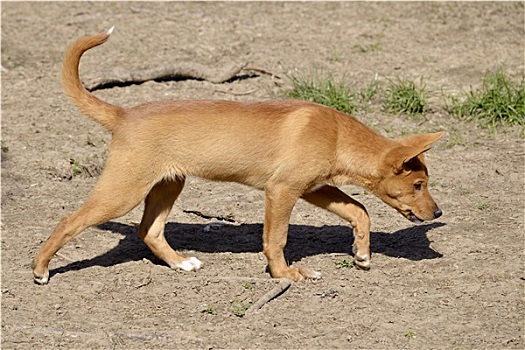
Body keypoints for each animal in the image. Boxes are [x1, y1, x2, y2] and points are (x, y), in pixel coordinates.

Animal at [31, 27, 442, 284]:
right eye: (419, 185)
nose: (438, 213)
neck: (337, 135)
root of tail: (124, 114)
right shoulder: (281, 191)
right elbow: (276, 239)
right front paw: (287, 275)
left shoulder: (314, 188)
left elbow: (360, 210)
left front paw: (361, 254)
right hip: (124, 190)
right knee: (70, 220)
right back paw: (40, 268)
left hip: (168, 184)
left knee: (149, 230)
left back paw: (181, 263)